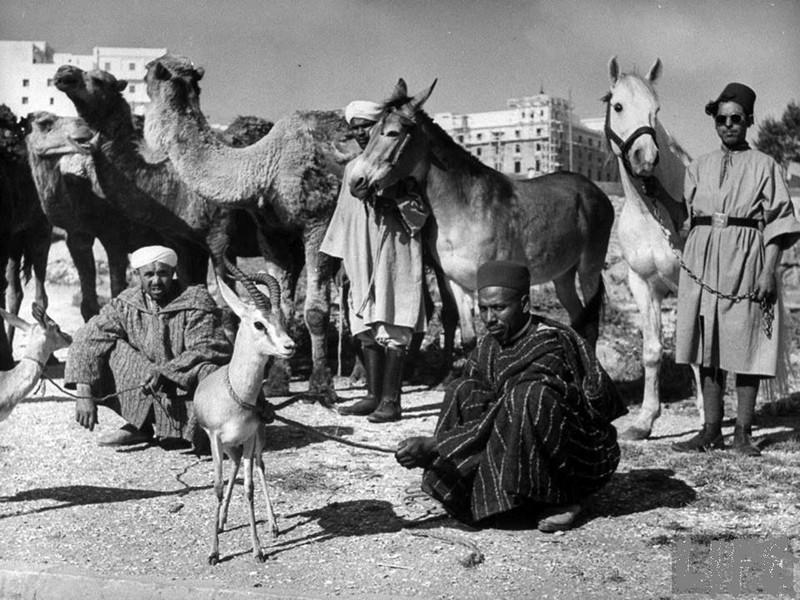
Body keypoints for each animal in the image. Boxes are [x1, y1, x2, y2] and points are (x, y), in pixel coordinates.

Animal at [143, 52, 360, 398]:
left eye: (149, 73)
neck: (264, 165)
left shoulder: (319, 222)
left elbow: (314, 309)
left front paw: (321, 386)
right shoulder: (272, 234)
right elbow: (282, 306)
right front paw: (277, 383)